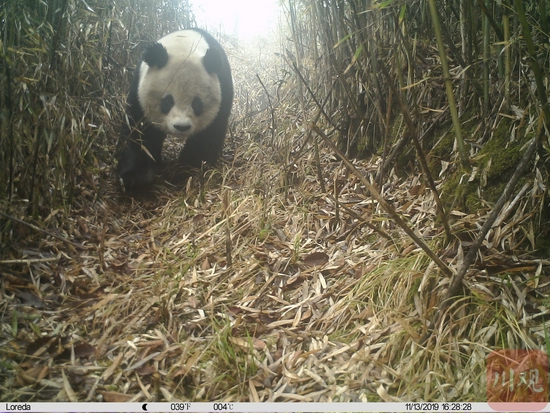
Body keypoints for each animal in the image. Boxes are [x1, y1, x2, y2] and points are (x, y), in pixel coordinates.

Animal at [118, 29, 233, 190]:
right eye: (167, 101)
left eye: (197, 104)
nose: (181, 127)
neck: (184, 45)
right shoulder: (139, 90)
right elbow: (138, 130)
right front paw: (136, 178)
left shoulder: (222, 90)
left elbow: (206, 137)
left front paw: (184, 173)